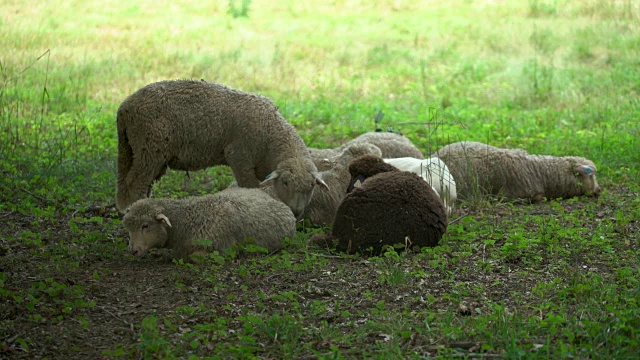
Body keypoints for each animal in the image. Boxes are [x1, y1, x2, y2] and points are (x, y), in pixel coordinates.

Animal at [114, 80, 330, 218]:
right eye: (285, 183)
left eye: (311, 186)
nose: (297, 212)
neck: (270, 134)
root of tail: (124, 108)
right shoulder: (239, 155)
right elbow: (249, 187)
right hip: (149, 147)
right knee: (135, 182)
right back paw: (133, 209)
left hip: (134, 149)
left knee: (133, 181)